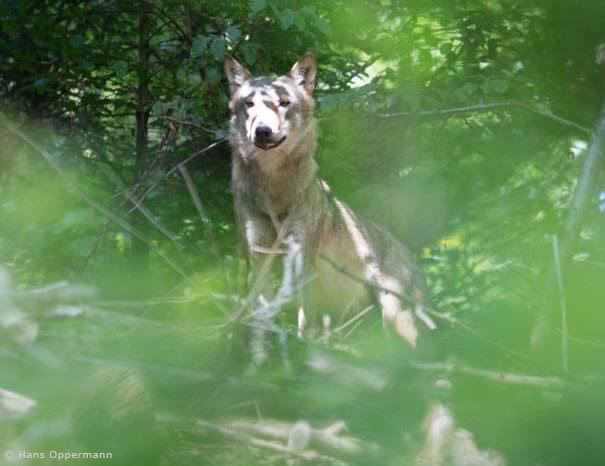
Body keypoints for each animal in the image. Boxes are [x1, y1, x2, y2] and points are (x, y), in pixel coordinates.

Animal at [223, 52, 434, 348]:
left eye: (284, 103)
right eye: (249, 104)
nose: (262, 131)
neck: (273, 191)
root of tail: (413, 260)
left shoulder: (302, 258)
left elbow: (304, 321)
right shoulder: (257, 257)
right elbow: (262, 311)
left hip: (396, 320)